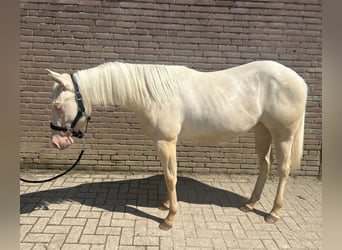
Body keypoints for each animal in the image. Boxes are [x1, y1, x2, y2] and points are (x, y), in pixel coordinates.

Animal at [47, 60, 308, 230]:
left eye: (57, 105)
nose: (57, 142)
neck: (150, 93)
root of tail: (298, 79)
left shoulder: (166, 141)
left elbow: (171, 177)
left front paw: (169, 218)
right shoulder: (163, 142)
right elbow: (167, 174)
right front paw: (165, 205)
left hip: (283, 136)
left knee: (283, 170)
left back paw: (273, 213)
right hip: (262, 131)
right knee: (264, 165)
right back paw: (250, 204)